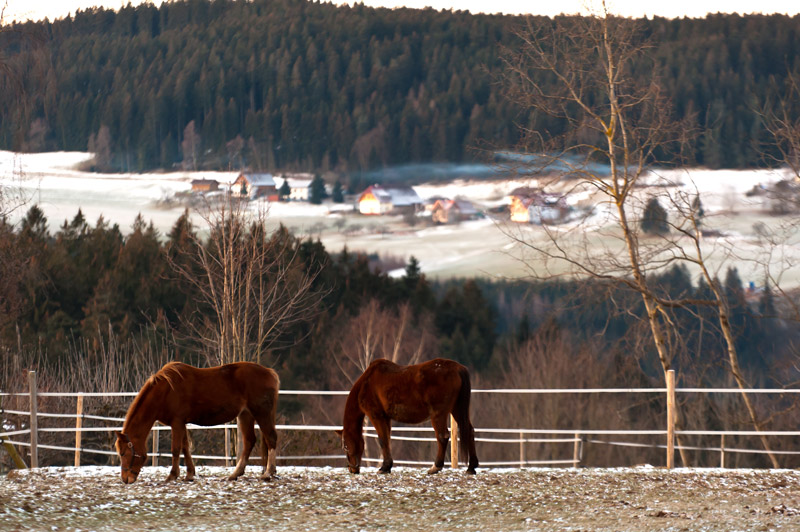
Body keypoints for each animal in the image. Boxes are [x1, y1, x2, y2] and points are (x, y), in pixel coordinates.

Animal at [114, 364, 280, 484]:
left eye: (123, 453)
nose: (125, 479)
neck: (165, 391)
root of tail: (270, 373)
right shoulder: (181, 424)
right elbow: (185, 447)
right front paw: (189, 474)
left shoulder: (177, 422)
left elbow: (176, 449)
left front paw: (172, 475)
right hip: (245, 415)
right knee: (249, 442)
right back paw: (235, 474)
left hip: (261, 413)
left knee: (271, 438)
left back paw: (268, 473)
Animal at [334, 360, 478, 476]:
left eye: (345, 446)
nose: (352, 469)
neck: (366, 383)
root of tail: (458, 368)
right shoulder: (386, 418)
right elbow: (387, 439)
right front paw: (387, 466)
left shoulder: (376, 416)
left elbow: (382, 440)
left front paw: (384, 467)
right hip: (457, 410)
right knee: (469, 432)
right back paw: (471, 467)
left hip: (439, 414)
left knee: (442, 436)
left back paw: (435, 467)